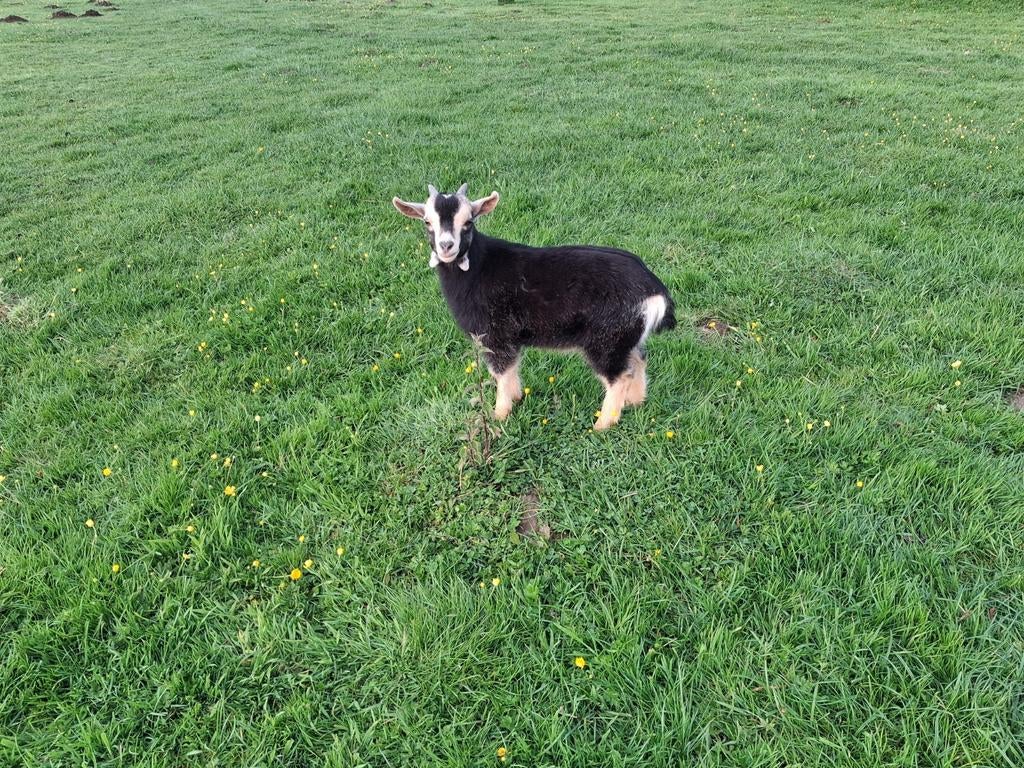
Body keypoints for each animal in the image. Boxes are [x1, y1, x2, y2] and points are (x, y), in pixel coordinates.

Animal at [392, 184, 675, 430]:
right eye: (427, 222)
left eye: (469, 221)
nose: (446, 246)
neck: (478, 268)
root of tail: (655, 290)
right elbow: (510, 369)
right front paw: (517, 398)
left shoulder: (496, 334)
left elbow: (501, 372)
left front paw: (499, 414)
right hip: (627, 335)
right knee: (639, 359)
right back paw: (636, 402)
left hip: (606, 339)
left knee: (619, 375)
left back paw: (602, 425)